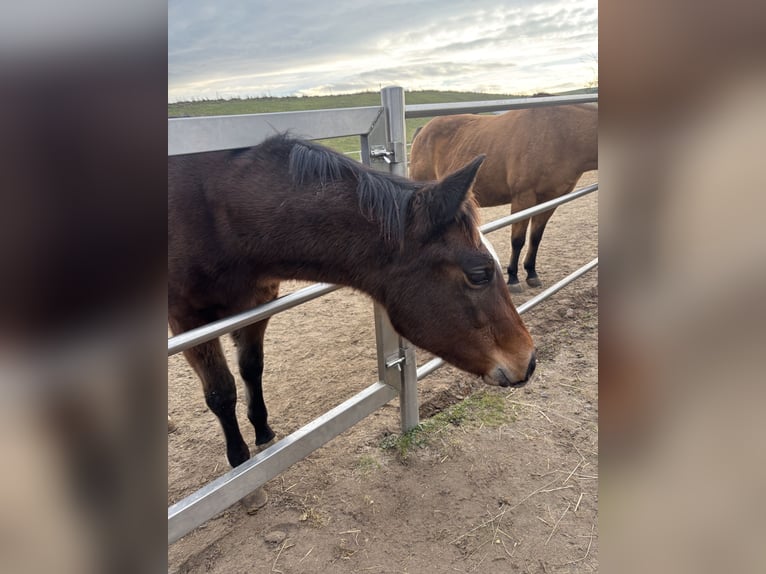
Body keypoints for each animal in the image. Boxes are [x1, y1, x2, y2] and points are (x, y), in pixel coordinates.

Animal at [168, 134, 536, 474]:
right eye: (479, 273)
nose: (529, 360)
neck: (221, 215)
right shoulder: (186, 320)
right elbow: (221, 391)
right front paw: (240, 461)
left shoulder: (258, 302)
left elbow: (251, 367)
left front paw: (262, 429)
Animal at [409, 104, 598, 292]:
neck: (559, 133)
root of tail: (422, 131)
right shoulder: (523, 199)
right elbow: (517, 240)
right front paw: (513, 278)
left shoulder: (550, 200)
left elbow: (535, 238)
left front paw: (531, 273)